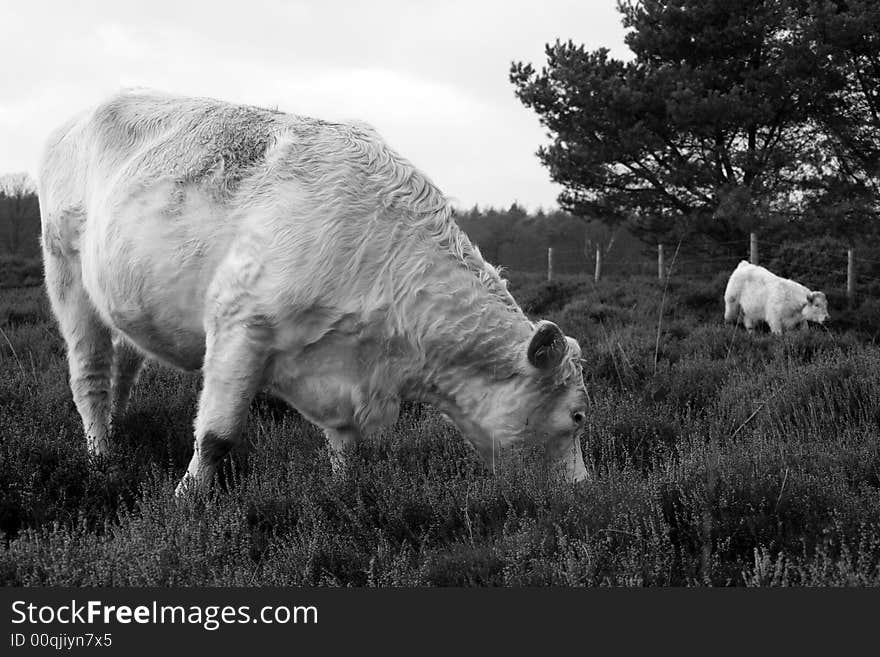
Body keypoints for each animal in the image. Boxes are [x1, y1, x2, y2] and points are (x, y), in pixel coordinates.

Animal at [39, 91, 592, 492]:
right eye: (578, 415)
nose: (585, 491)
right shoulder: (239, 326)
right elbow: (216, 436)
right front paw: (186, 503)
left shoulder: (340, 370)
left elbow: (345, 444)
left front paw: (344, 494)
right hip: (67, 278)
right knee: (90, 376)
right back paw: (102, 456)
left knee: (122, 367)